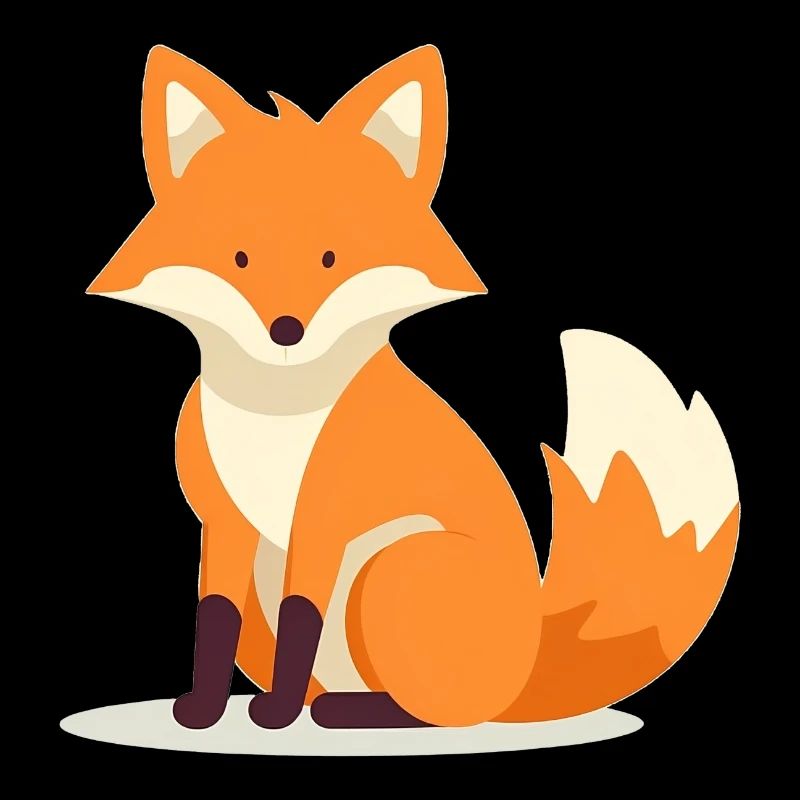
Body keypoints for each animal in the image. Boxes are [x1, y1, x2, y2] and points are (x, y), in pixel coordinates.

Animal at [87, 44, 739, 731]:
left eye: (333, 257)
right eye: (239, 257)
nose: (286, 330)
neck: (276, 417)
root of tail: (527, 670)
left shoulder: (324, 519)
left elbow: (302, 618)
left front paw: (277, 715)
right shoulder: (224, 521)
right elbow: (214, 618)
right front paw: (204, 710)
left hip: (395, 566)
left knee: (441, 712)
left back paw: (347, 714)